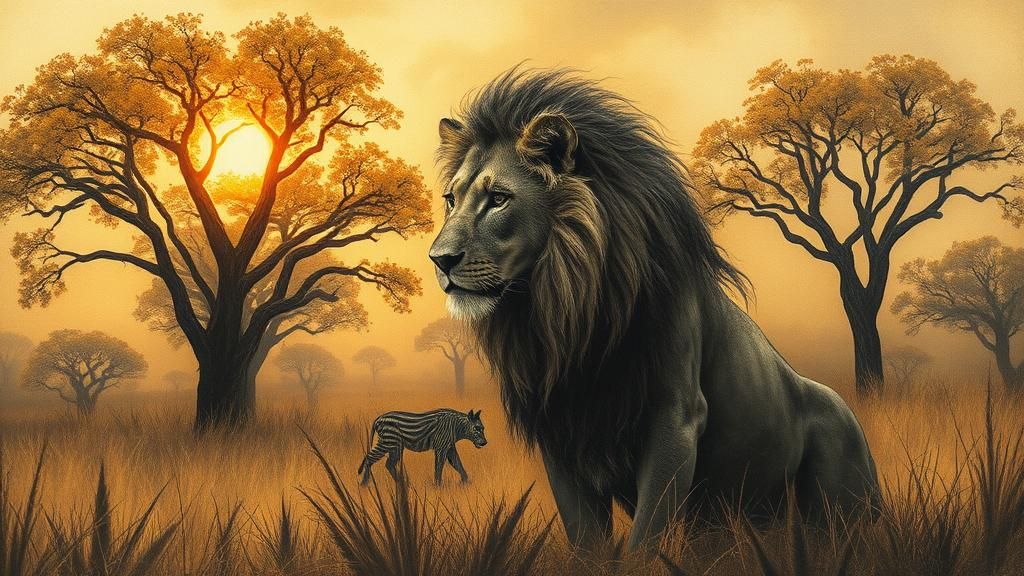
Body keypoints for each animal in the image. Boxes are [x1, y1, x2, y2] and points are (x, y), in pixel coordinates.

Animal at [428, 68, 881, 551]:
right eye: (452, 199)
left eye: (498, 198)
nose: (439, 259)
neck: (570, 315)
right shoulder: (559, 431)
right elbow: (588, 542)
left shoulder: (675, 419)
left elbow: (646, 538)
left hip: (841, 496)